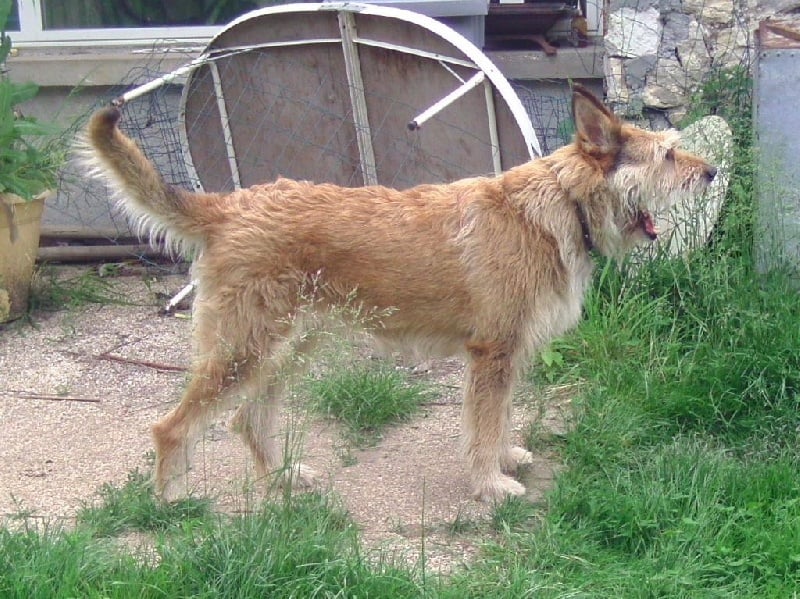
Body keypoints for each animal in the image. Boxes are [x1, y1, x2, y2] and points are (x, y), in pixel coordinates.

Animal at [85, 84, 716, 502]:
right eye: (667, 155)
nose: (711, 173)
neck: (557, 207)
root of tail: (228, 206)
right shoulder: (491, 354)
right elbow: (482, 428)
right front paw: (489, 485)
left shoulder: (506, 358)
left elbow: (501, 419)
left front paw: (504, 460)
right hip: (243, 353)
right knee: (171, 427)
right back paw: (173, 504)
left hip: (285, 351)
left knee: (246, 421)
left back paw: (284, 479)